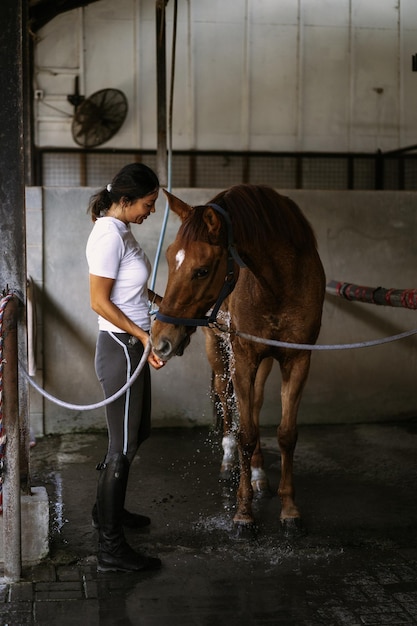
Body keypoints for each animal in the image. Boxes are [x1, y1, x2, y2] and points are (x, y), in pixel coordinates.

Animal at [150, 183, 324, 532]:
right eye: (170, 259)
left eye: (202, 270)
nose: (160, 339)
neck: (279, 285)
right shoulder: (243, 357)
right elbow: (245, 433)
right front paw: (244, 513)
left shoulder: (297, 360)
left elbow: (285, 433)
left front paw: (289, 509)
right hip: (217, 349)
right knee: (225, 394)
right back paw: (229, 461)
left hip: (263, 361)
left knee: (253, 403)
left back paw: (257, 474)